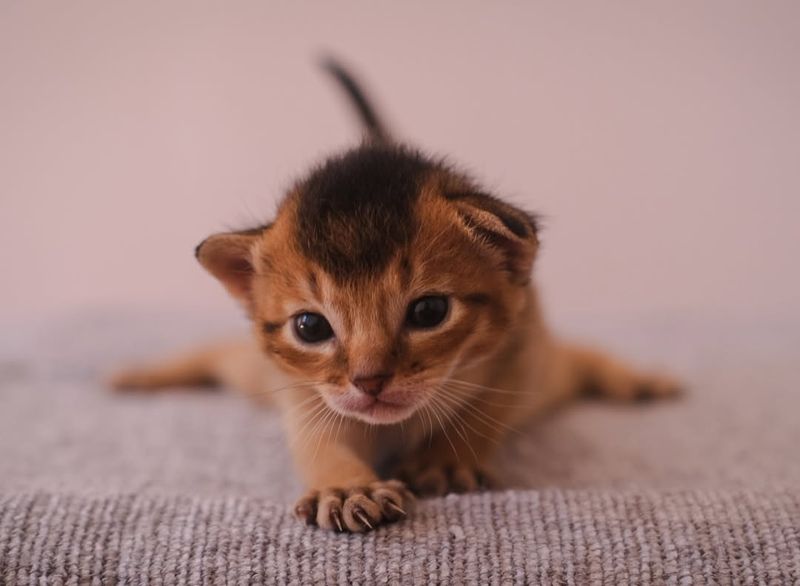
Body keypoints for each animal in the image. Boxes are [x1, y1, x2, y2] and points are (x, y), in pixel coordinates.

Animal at [112, 58, 680, 528]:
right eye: (310, 326)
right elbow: (318, 439)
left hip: (551, 374)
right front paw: (344, 488)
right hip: (250, 371)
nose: (369, 381)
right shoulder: (302, 395)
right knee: (214, 354)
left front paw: (445, 459)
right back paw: (141, 373)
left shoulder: (523, 346)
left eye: (429, 311)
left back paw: (639, 379)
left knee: (579, 357)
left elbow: (482, 410)